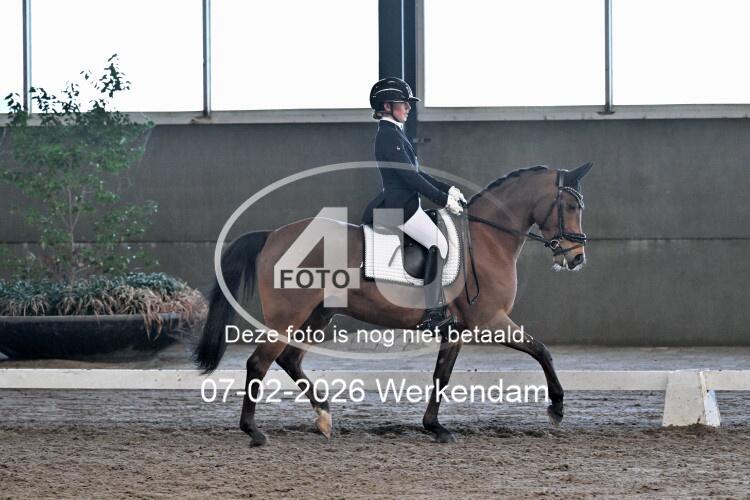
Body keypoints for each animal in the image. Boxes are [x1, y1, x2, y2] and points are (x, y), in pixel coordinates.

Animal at [194, 162, 593, 446]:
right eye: (571, 205)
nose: (576, 258)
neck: (487, 240)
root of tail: (273, 235)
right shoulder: (490, 321)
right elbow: (541, 350)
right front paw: (557, 407)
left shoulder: (458, 329)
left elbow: (442, 375)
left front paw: (434, 427)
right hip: (288, 317)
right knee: (258, 363)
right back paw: (254, 432)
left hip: (316, 316)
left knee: (288, 359)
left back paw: (324, 417)